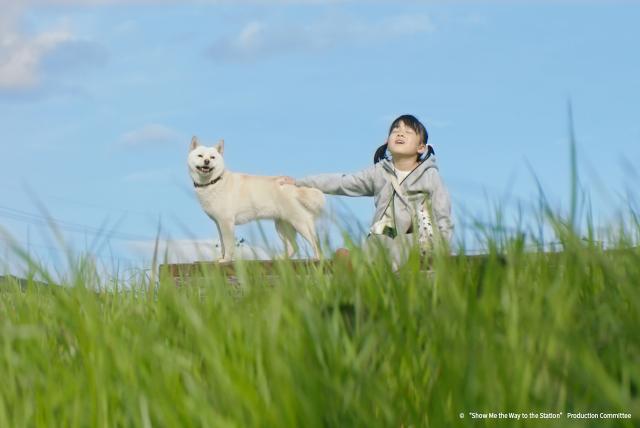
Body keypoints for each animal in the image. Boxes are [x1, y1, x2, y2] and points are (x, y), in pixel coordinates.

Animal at [188, 137, 322, 262]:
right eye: (200, 155)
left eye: (212, 157)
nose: (206, 161)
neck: (214, 182)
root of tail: (295, 188)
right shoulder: (219, 223)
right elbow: (223, 245)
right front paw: (221, 258)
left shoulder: (226, 222)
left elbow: (228, 245)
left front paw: (226, 260)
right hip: (282, 226)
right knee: (293, 247)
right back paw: (281, 260)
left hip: (300, 223)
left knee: (315, 243)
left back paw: (317, 259)